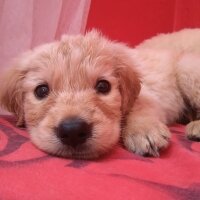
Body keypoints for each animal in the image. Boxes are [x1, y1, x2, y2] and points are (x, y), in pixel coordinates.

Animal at [0, 28, 199, 159]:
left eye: (103, 86)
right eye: (41, 90)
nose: (73, 131)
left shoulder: (148, 93)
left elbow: (140, 105)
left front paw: (143, 130)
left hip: (186, 67)